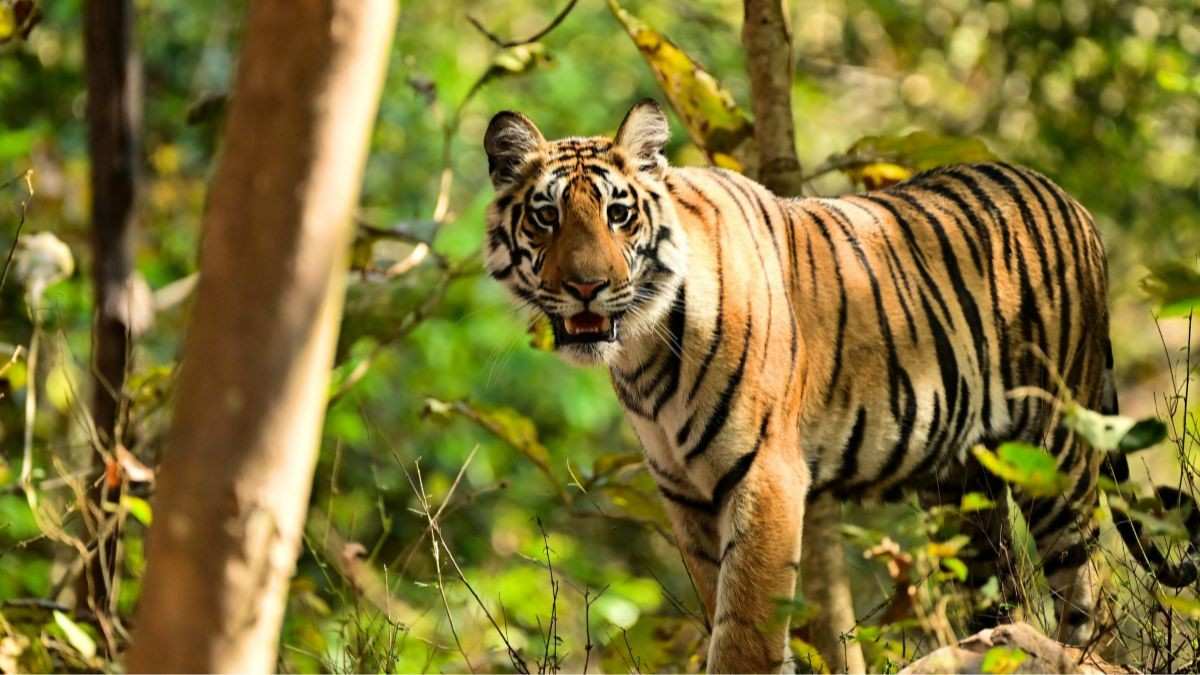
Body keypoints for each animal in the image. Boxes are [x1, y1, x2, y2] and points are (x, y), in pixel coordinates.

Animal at [481, 99, 1198, 673]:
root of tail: (1070, 200)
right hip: (961, 487)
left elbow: (744, 629)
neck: (644, 347)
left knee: (1088, 596)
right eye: (545, 216)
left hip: (1055, 456)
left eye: (619, 213)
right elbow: (722, 607)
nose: (586, 285)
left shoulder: (765, 474)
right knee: (999, 595)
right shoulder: (684, 492)